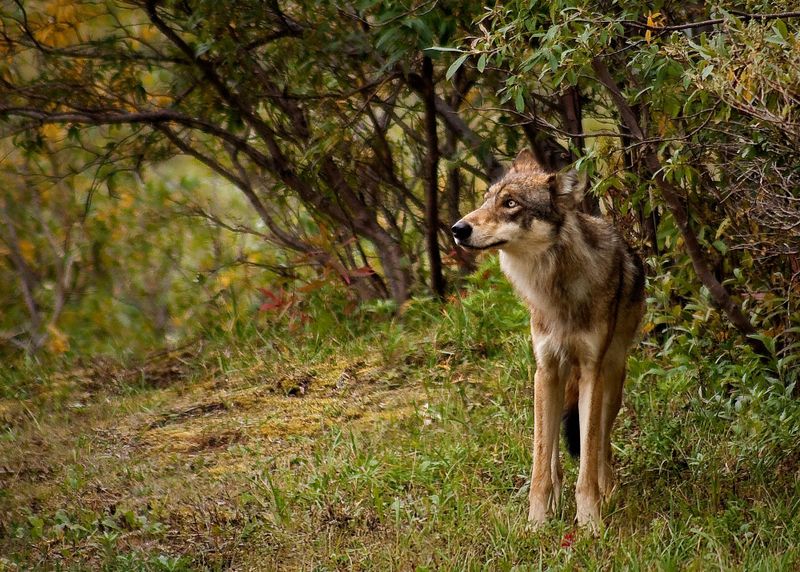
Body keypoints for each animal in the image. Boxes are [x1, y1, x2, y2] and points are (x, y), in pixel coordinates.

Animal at [451, 149, 645, 531]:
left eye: (510, 203)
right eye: (486, 200)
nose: (457, 229)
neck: (556, 292)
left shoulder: (591, 372)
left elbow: (588, 456)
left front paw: (590, 523)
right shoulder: (546, 369)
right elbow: (541, 461)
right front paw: (536, 524)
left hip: (612, 379)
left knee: (601, 444)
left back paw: (608, 491)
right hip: (552, 382)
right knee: (552, 447)